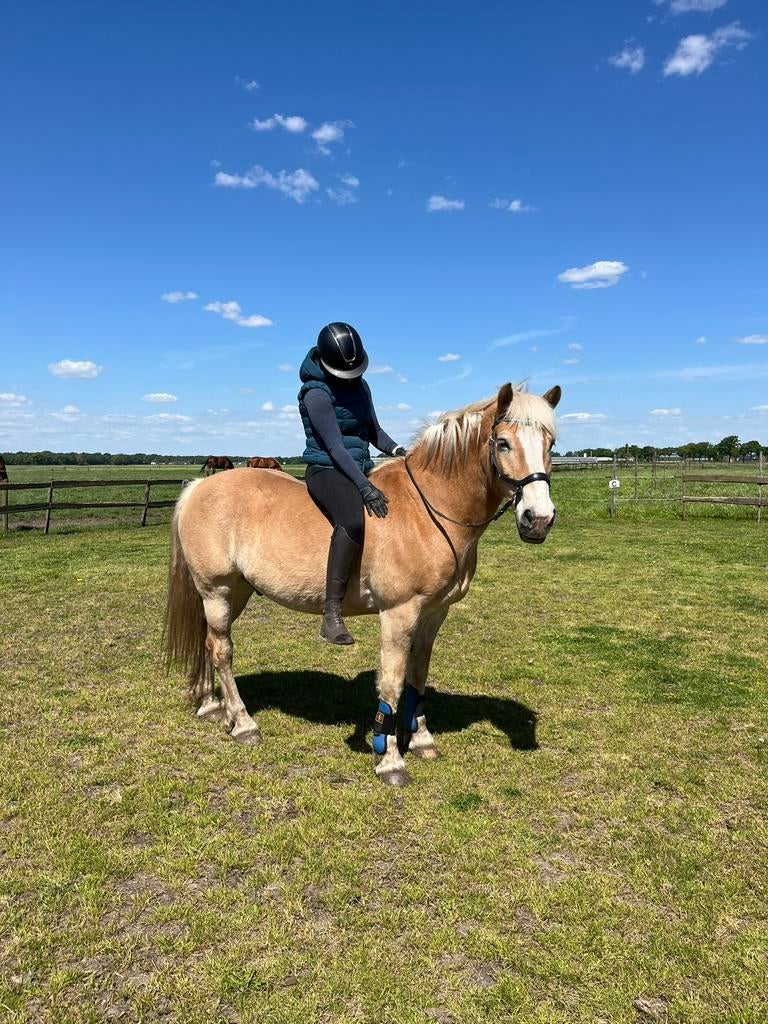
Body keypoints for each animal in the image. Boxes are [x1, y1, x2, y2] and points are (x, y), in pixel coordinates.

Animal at [164, 382, 561, 786]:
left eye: (551, 444)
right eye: (503, 444)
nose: (539, 519)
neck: (428, 509)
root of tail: (198, 488)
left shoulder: (434, 613)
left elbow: (418, 675)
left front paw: (421, 739)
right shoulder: (399, 613)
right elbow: (393, 680)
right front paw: (390, 758)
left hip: (236, 591)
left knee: (208, 641)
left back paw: (212, 706)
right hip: (216, 590)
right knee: (222, 650)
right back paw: (244, 723)